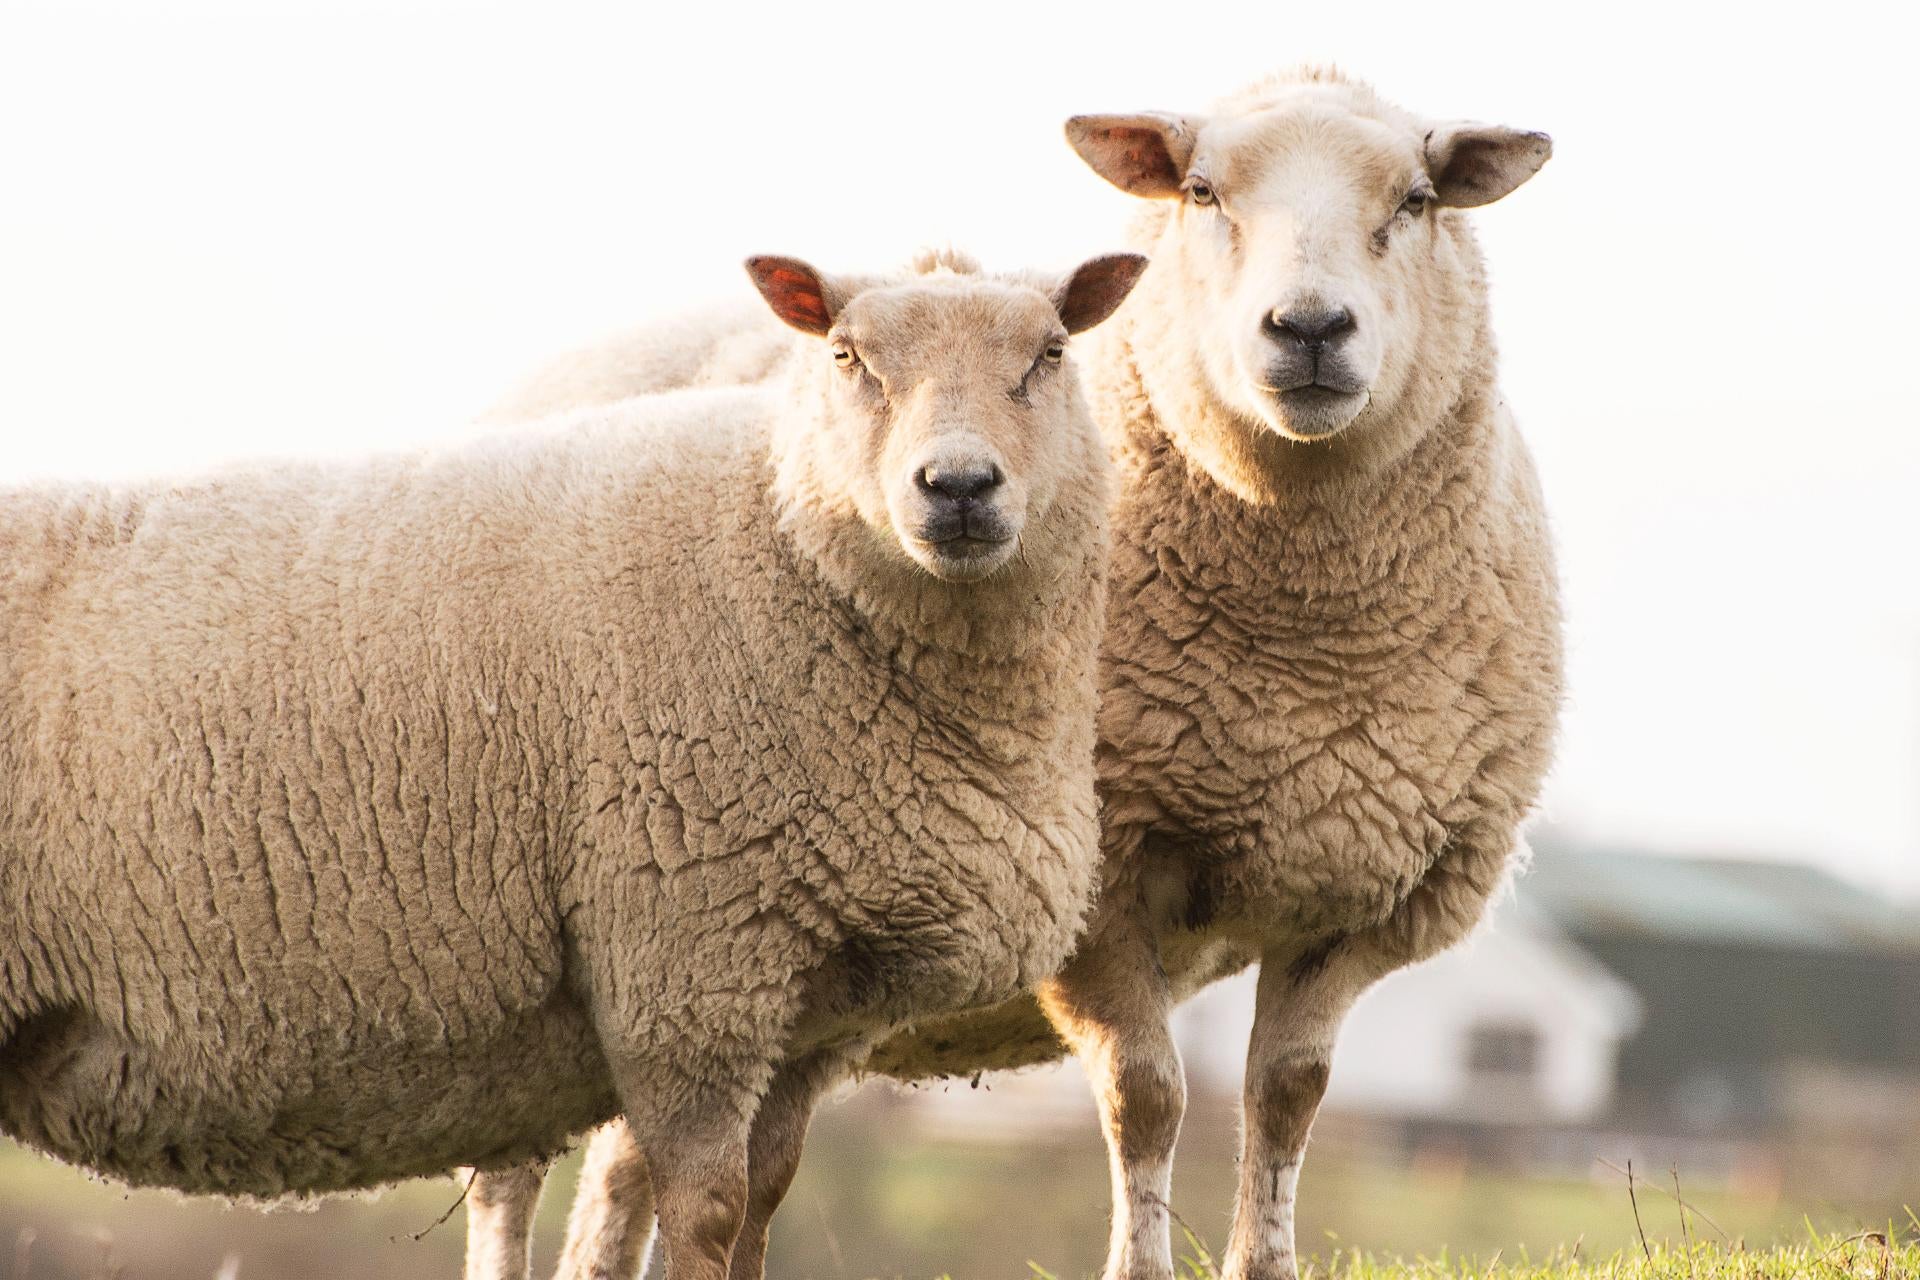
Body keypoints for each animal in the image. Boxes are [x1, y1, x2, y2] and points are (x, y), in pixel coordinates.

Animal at [0, 248, 1149, 1280]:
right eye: (845, 355)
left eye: (1051, 352)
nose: (957, 487)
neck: (786, 541)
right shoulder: (685, 959)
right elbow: (706, 1210)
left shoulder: (808, 1000)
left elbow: (764, 1202)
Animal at [466, 69, 1563, 1280]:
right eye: (1199, 190)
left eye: (1416, 199)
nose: (1311, 328)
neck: (1300, 648)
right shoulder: (1104, 872)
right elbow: (1147, 1094)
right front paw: (1140, 1267)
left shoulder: (1359, 886)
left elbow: (1288, 1096)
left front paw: (1264, 1265)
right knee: (516, 1173)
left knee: (623, 1163)